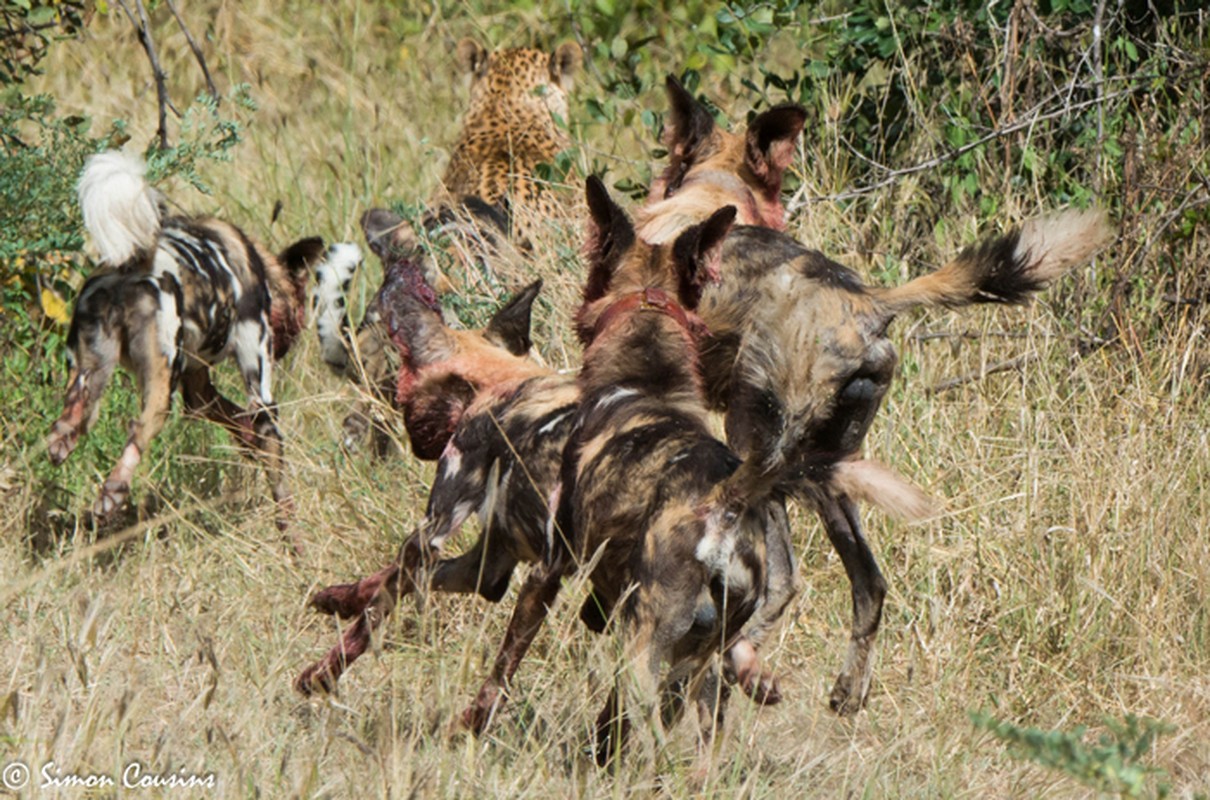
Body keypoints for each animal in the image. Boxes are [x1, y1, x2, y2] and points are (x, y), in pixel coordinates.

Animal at [46, 150, 331, 537]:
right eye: (302, 307)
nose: (292, 343)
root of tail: (131, 266)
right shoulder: (259, 391)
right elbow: (278, 479)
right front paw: (292, 539)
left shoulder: (198, 388)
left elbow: (232, 418)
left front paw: (247, 445)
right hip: (162, 382)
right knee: (141, 428)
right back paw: (113, 493)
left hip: (90, 372)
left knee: (68, 426)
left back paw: (72, 452)